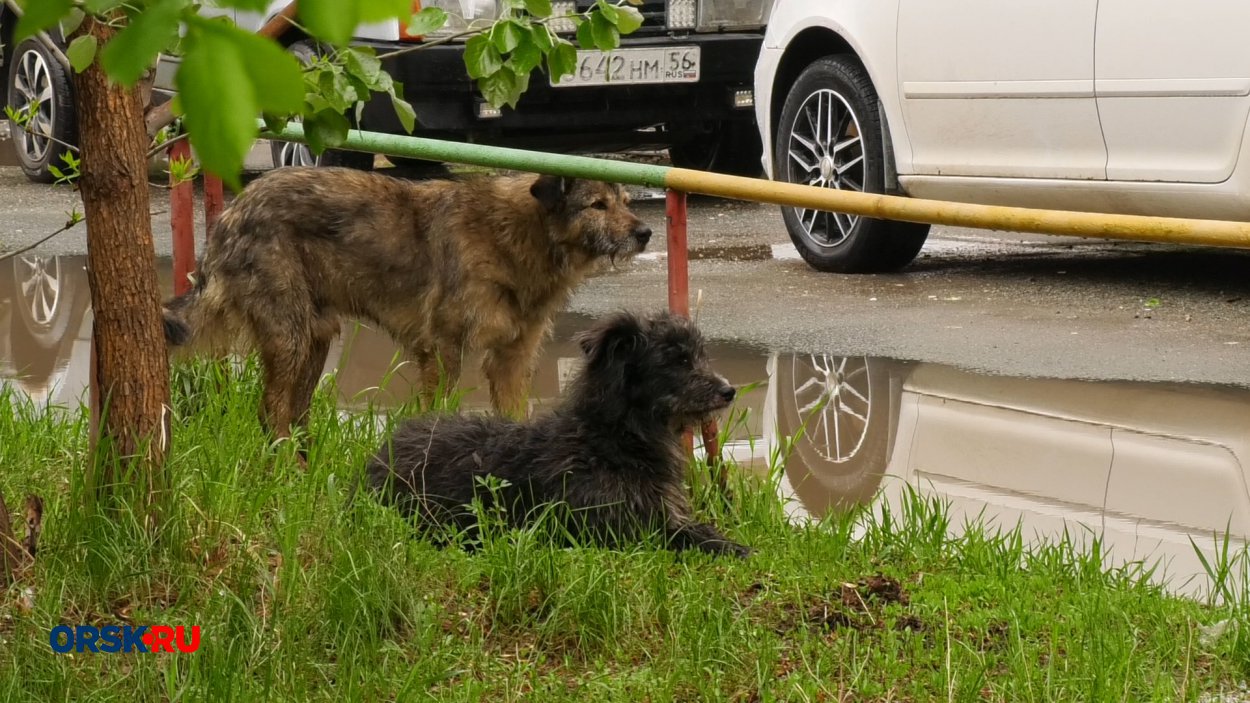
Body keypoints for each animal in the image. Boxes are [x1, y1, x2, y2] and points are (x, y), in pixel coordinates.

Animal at [163, 166, 655, 435]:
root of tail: (232, 212)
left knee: (294, 415)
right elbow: (435, 410)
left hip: (315, 339)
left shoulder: (512, 358)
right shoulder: (442, 350)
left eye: (625, 201)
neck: (519, 236)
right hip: (290, 337)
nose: (646, 232)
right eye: (596, 205)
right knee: (272, 415)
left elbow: (514, 416)